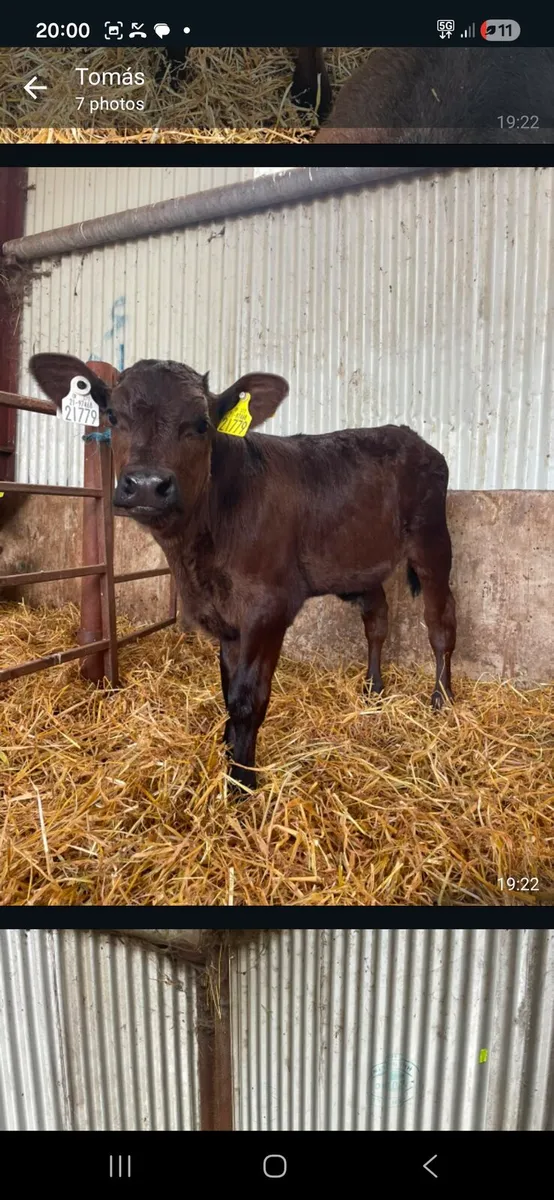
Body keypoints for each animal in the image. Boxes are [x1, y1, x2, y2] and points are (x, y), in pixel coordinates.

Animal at [29, 354, 456, 796]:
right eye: (112, 415)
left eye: (202, 423)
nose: (146, 485)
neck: (197, 558)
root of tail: (410, 436)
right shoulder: (223, 617)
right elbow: (228, 692)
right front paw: (228, 749)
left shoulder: (268, 608)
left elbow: (248, 698)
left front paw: (242, 781)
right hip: (360, 562)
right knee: (377, 620)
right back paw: (373, 690)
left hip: (432, 541)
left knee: (440, 623)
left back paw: (442, 699)